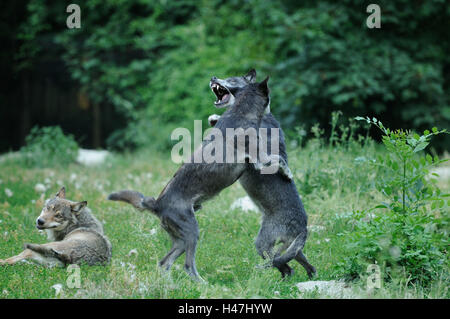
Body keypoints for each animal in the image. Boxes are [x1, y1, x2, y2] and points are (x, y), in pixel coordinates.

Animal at [107, 77, 286, 282]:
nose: (214, 79)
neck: (242, 111)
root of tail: (157, 205)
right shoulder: (259, 158)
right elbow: (278, 160)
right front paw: (287, 173)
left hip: (181, 240)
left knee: (164, 262)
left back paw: (171, 284)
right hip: (192, 233)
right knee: (187, 266)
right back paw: (203, 284)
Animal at [207, 69, 312, 278]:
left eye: (231, 80)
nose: (213, 78)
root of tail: (303, 227)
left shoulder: (258, 155)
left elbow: (278, 160)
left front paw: (287, 173)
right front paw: (213, 118)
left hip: (263, 244)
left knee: (283, 266)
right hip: (292, 250)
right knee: (302, 266)